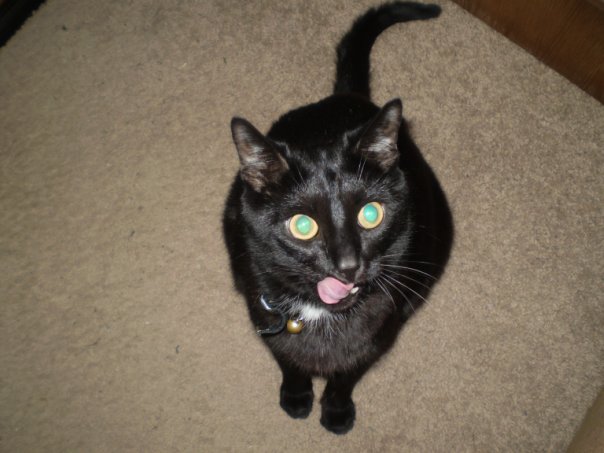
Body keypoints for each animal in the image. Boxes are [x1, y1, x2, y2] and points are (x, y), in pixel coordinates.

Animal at [223, 1, 452, 434]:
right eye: (302, 225)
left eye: (370, 214)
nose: (348, 265)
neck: (321, 312)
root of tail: (347, 96)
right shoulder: (264, 314)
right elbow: (289, 359)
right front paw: (297, 398)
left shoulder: (378, 333)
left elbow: (347, 374)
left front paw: (336, 412)